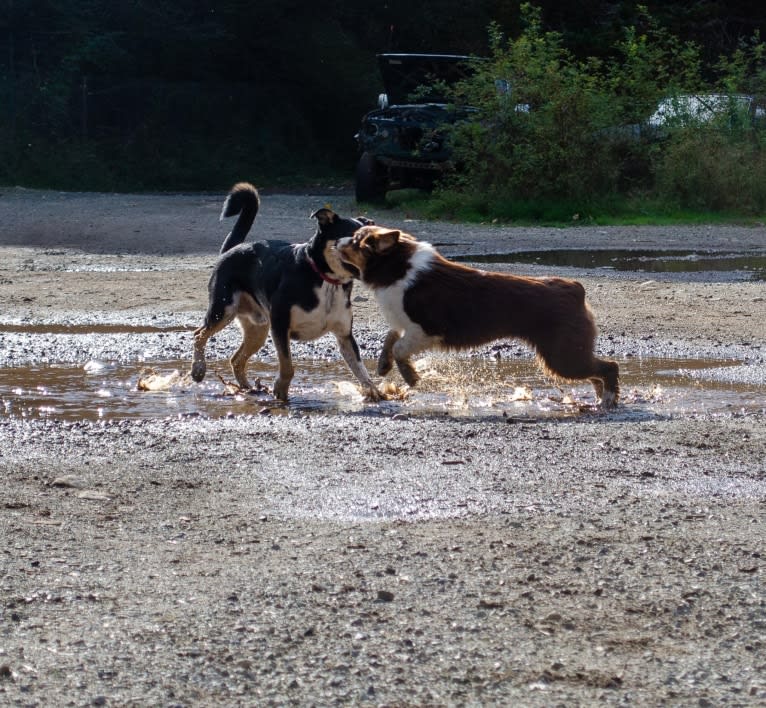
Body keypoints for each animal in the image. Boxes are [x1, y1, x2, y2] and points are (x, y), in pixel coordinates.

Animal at [190, 183, 382, 402]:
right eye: (352, 239)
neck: (325, 279)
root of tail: (233, 248)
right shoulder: (280, 327)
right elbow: (288, 366)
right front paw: (280, 390)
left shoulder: (344, 335)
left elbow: (359, 368)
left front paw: (373, 390)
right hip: (224, 309)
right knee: (199, 335)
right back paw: (198, 370)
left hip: (258, 329)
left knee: (236, 359)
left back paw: (247, 389)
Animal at [340, 224, 620, 406]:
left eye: (354, 241)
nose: (336, 242)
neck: (399, 266)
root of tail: (575, 288)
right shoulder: (403, 323)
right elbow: (390, 339)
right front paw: (383, 365)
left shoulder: (427, 329)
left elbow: (399, 348)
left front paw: (410, 376)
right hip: (569, 352)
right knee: (597, 371)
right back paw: (599, 395)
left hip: (562, 356)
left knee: (610, 366)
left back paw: (608, 400)